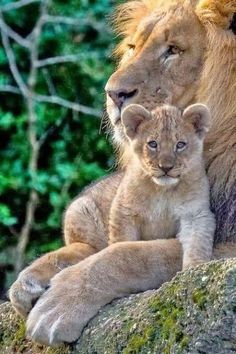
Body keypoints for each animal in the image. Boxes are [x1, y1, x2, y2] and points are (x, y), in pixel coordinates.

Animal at [9, 0, 236, 348]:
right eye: (133, 47)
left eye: (173, 50)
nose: (113, 93)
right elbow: (120, 246)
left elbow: (138, 254)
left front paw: (60, 303)